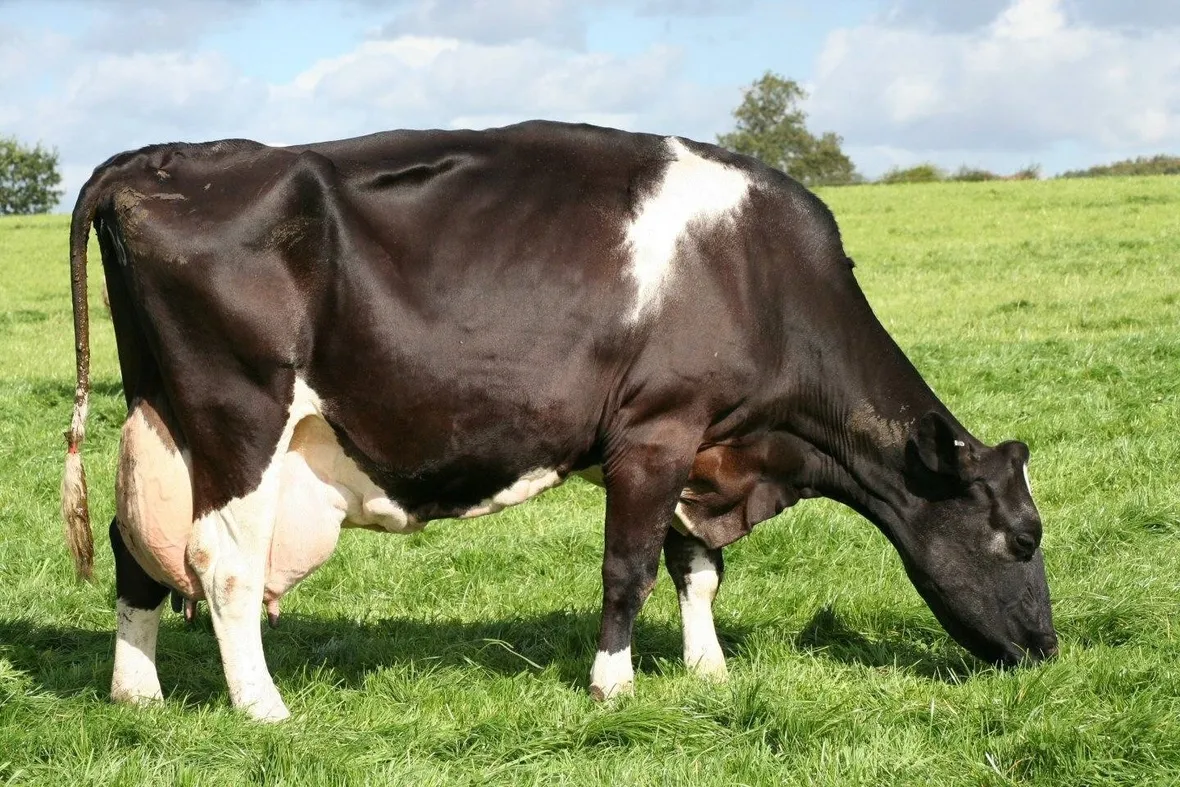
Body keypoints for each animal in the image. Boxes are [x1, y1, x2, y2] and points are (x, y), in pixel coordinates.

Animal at [61, 121, 1056, 722]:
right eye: (1021, 537)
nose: (1048, 648)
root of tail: (164, 157)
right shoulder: (657, 430)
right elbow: (630, 570)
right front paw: (613, 682)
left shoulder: (702, 439)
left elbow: (697, 568)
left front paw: (708, 670)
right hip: (242, 414)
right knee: (223, 562)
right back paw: (264, 706)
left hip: (159, 417)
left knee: (135, 546)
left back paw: (136, 693)